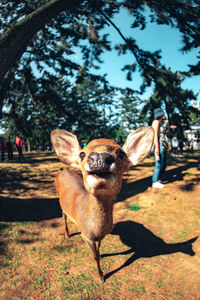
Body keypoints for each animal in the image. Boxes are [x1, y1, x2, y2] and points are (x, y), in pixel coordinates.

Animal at [50, 127, 154, 282]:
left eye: (121, 153)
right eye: (82, 154)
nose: (99, 157)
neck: (96, 229)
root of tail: (63, 170)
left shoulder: (99, 237)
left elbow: (99, 248)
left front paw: (102, 256)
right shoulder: (86, 235)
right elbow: (94, 257)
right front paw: (101, 277)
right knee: (63, 215)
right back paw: (67, 234)